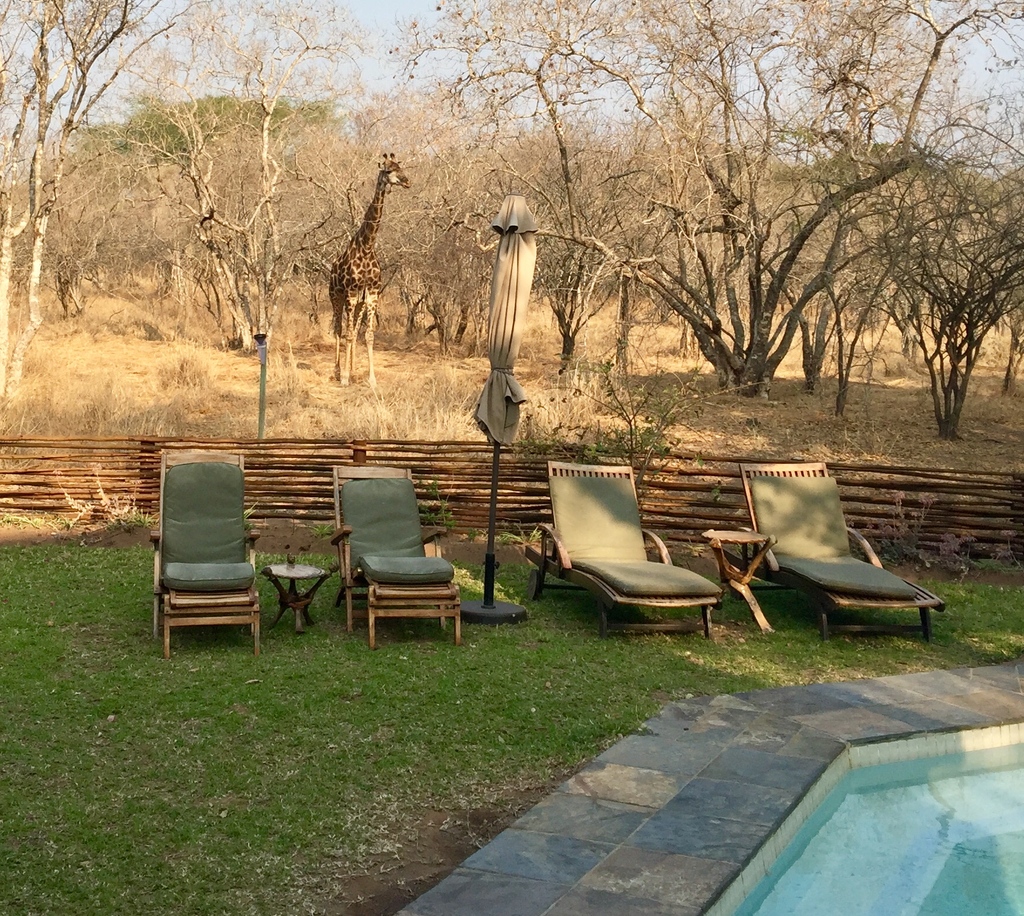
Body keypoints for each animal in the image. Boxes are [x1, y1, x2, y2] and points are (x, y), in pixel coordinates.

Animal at [327, 151, 407, 386]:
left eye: (401, 167)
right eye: (388, 170)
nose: (407, 181)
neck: (367, 246)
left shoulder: (371, 294)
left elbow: (368, 334)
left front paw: (370, 378)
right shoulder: (352, 293)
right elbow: (348, 334)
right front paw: (344, 378)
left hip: (358, 303)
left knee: (352, 329)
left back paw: (353, 369)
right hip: (336, 297)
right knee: (339, 329)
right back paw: (338, 370)